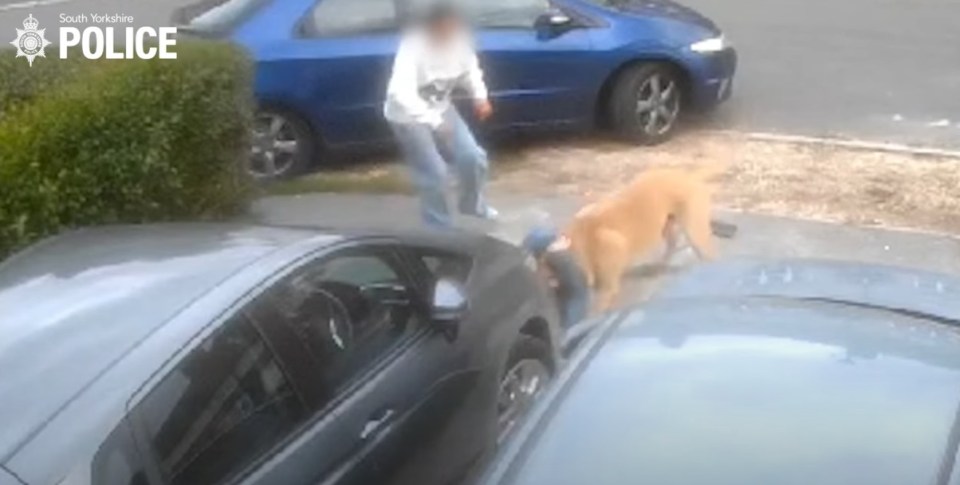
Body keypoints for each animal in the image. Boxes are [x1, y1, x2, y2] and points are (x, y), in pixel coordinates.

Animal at [568, 164, 724, 310]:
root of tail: (689, 177)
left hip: (694, 230)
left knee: (704, 251)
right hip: (668, 226)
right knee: (672, 245)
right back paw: (660, 266)